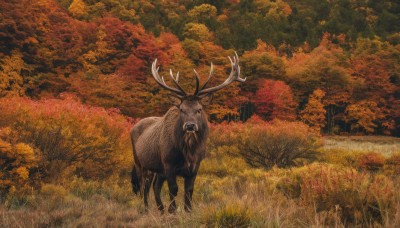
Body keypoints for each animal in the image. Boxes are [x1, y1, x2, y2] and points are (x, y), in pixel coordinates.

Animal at [130, 52, 245, 213]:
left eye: (199, 109)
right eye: (182, 109)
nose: (190, 125)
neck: (188, 151)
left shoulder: (195, 165)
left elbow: (189, 190)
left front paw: (188, 211)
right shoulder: (168, 163)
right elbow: (173, 189)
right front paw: (172, 211)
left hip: (157, 169)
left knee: (154, 186)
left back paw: (160, 209)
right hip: (140, 162)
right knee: (143, 187)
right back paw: (146, 209)